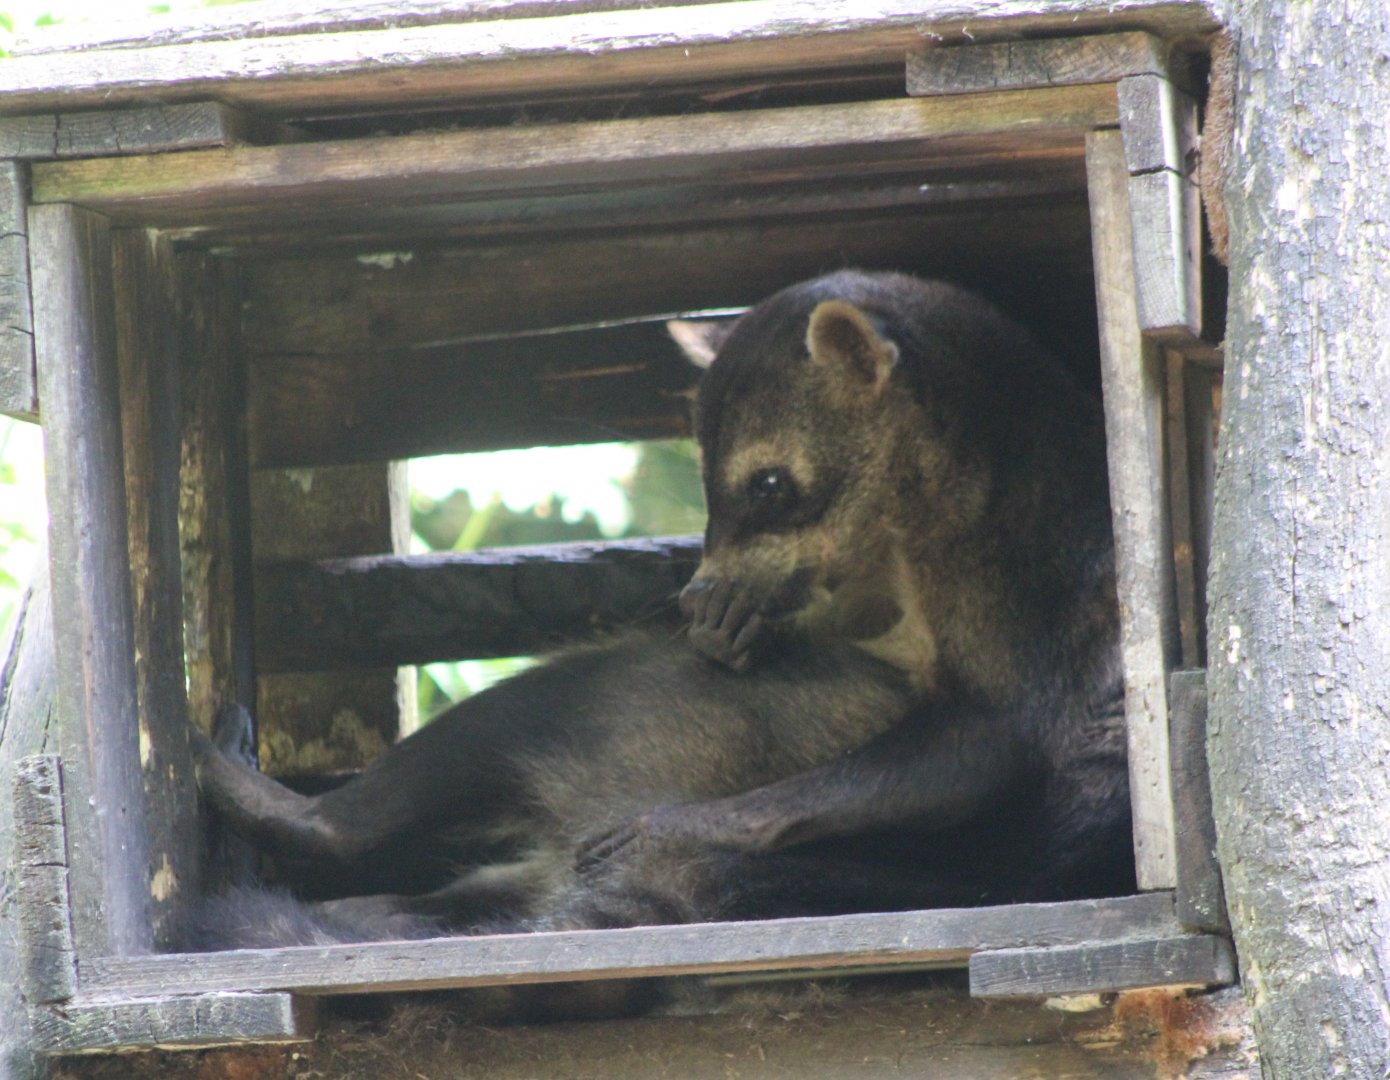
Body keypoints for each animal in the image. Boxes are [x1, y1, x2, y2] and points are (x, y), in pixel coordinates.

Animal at [189, 270, 1132, 952]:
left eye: (769, 485)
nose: (694, 594)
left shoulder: (1013, 561)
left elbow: (988, 739)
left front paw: (700, 818)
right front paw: (740, 616)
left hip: (706, 734)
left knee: (576, 695)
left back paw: (323, 822)